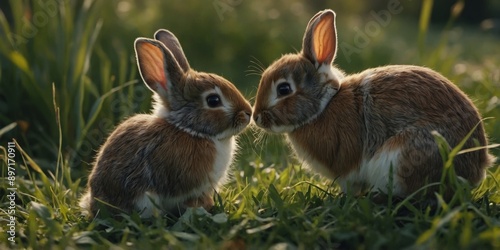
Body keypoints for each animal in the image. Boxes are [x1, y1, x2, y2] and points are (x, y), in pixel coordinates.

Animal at [252, 9, 494, 199]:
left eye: (284, 89)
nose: (256, 117)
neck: (324, 105)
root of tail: (476, 169)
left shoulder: (347, 166)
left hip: (406, 155)